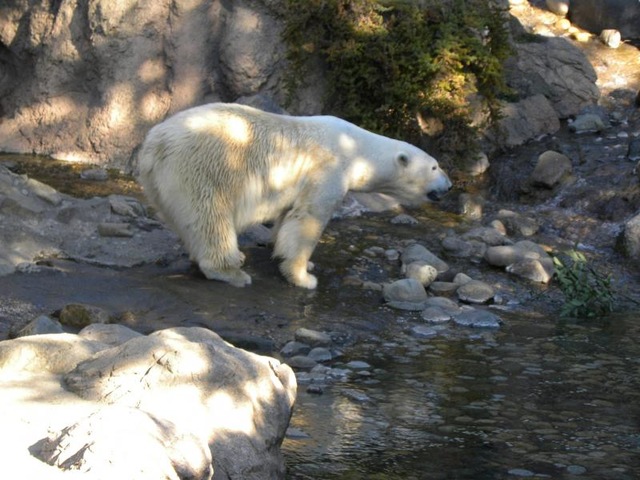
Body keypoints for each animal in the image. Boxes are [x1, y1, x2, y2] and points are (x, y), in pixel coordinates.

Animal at [138, 103, 452, 289]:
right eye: (435, 166)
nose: (448, 185)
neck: (356, 149)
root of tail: (153, 145)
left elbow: (286, 216)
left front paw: (288, 254)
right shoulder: (328, 169)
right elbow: (308, 218)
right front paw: (304, 276)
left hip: (163, 184)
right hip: (203, 169)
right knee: (210, 218)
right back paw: (232, 271)